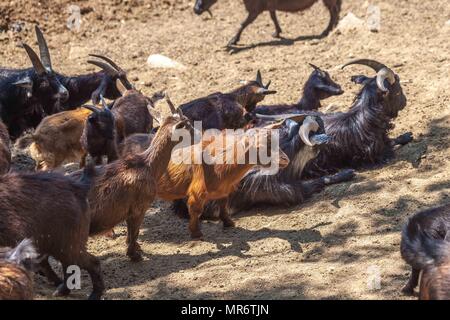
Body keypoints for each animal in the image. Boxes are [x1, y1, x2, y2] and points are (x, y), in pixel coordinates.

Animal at [193, 0, 342, 47]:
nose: (196, 9)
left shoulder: (254, 10)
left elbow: (243, 24)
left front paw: (233, 40)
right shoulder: (269, 6)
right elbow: (273, 17)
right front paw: (277, 33)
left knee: (334, 11)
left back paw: (328, 30)